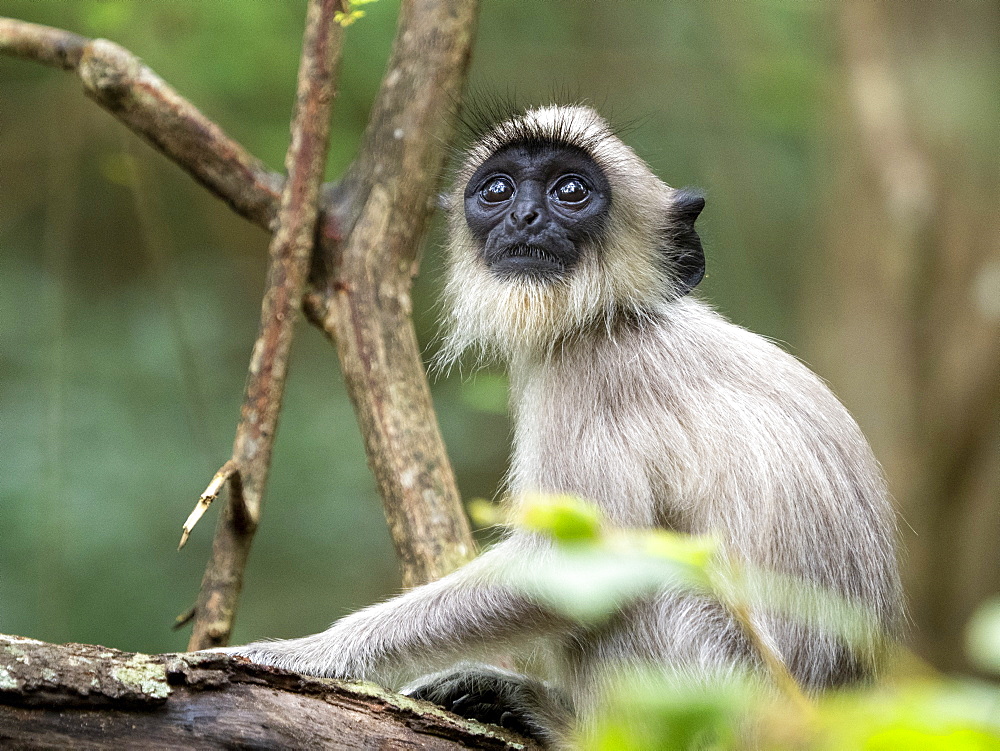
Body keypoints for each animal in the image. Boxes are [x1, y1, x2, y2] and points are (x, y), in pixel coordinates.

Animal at [221, 104, 908, 748]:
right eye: (497, 190)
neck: (617, 315)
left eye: (570, 191)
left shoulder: (593, 378)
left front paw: (303, 655)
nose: (525, 218)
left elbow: (578, 560)